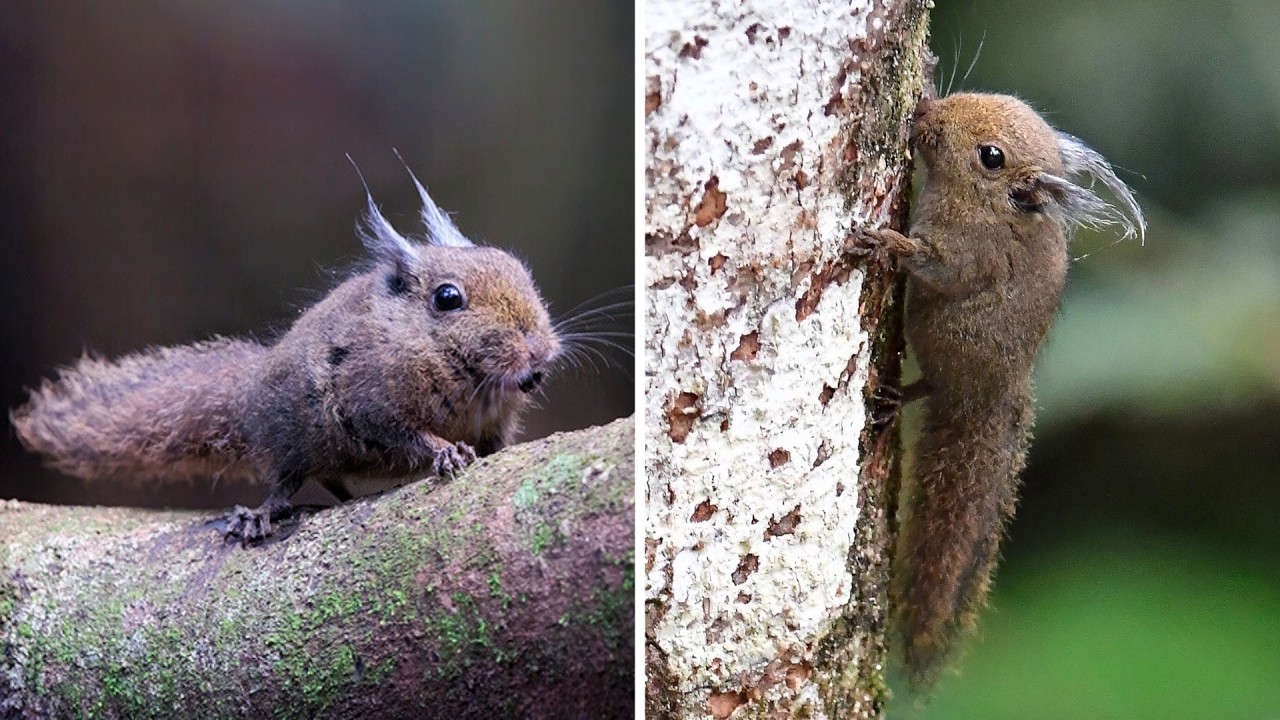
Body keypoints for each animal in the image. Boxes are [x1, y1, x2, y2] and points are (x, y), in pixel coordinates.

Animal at [11, 162, 562, 544]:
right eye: (448, 298)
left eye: (516, 267)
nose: (538, 353)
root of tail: (248, 397)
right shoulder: (370, 402)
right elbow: (405, 434)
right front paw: (445, 451)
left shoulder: (492, 421)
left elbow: (496, 444)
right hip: (298, 438)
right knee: (285, 481)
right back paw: (262, 514)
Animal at [856, 92, 1145, 689]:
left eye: (991, 156)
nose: (925, 113)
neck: (991, 207)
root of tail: (993, 398)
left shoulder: (971, 256)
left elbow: (936, 267)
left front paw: (885, 241)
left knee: (932, 385)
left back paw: (896, 398)